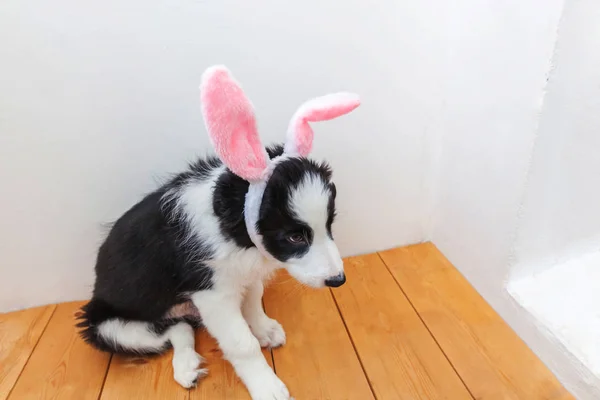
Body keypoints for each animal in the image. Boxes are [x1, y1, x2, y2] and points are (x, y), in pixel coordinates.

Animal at [77, 66, 358, 400]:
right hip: (108, 328)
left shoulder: (244, 269)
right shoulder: (213, 294)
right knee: (175, 329)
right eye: (295, 237)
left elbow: (253, 298)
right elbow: (242, 344)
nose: (338, 281)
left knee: (182, 327)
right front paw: (266, 385)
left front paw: (263, 328)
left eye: (329, 224)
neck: (231, 223)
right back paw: (185, 367)